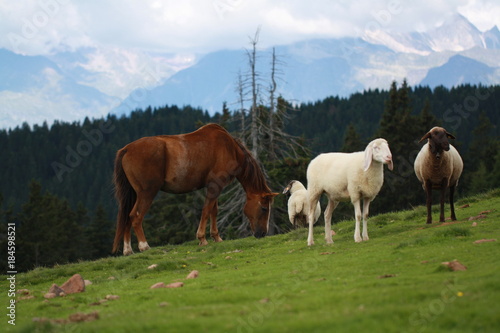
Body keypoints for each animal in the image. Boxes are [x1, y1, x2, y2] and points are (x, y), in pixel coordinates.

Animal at [112, 123, 278, 255]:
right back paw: (144, 246)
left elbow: (213, 211)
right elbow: (206, 210)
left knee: (127, 215)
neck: (230, 148)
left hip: (134, 194)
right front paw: (202, 238)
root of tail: (126, 149)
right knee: (135, 216)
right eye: (264, 208)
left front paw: (216, 237)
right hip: (147, 192)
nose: (262, 233)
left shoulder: (214, 186)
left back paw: (128, 249)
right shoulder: (215, 185)